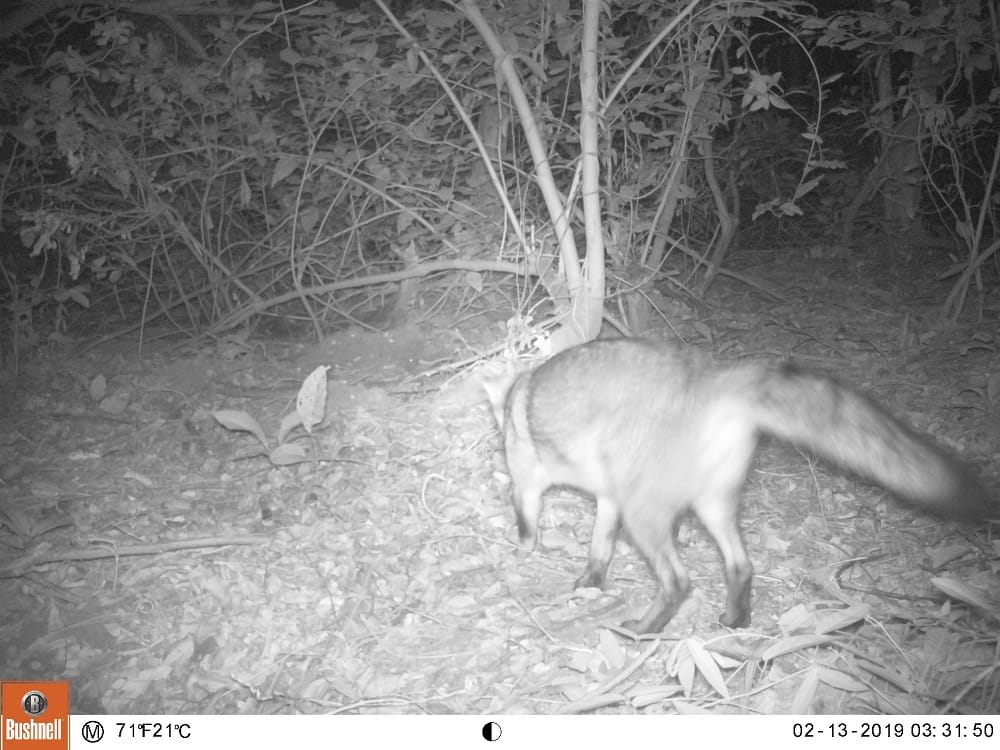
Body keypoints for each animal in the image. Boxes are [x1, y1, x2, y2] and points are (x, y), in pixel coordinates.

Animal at [480, 338, 988, 636]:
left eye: (504, 433)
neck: (519, 398)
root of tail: (713, 375)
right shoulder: (609, 498)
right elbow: (599, 548)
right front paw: (590, 580)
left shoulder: (530, 482)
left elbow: (528, 519)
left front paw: (524, 548)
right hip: (713, 506)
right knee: (742, 566)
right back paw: (735, 620)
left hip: (648, 517)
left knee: (678, 581)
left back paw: (644, 629)